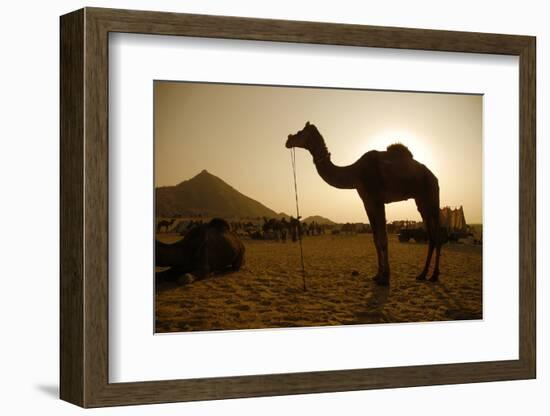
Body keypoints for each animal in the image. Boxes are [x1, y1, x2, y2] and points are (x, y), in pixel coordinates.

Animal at [286, 121, 442, 286]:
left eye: (300, 132)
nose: (288, 140)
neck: (356, 172)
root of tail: (434, 176)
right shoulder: (367, 202)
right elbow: (375, 239)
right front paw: (378, 275)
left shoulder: (378, 199)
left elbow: (383, 239)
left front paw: (385, 278)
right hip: (421, 201)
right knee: (431, 235)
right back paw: (422, 274)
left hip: (432, 195)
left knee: (437, 234)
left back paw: (434, 276)